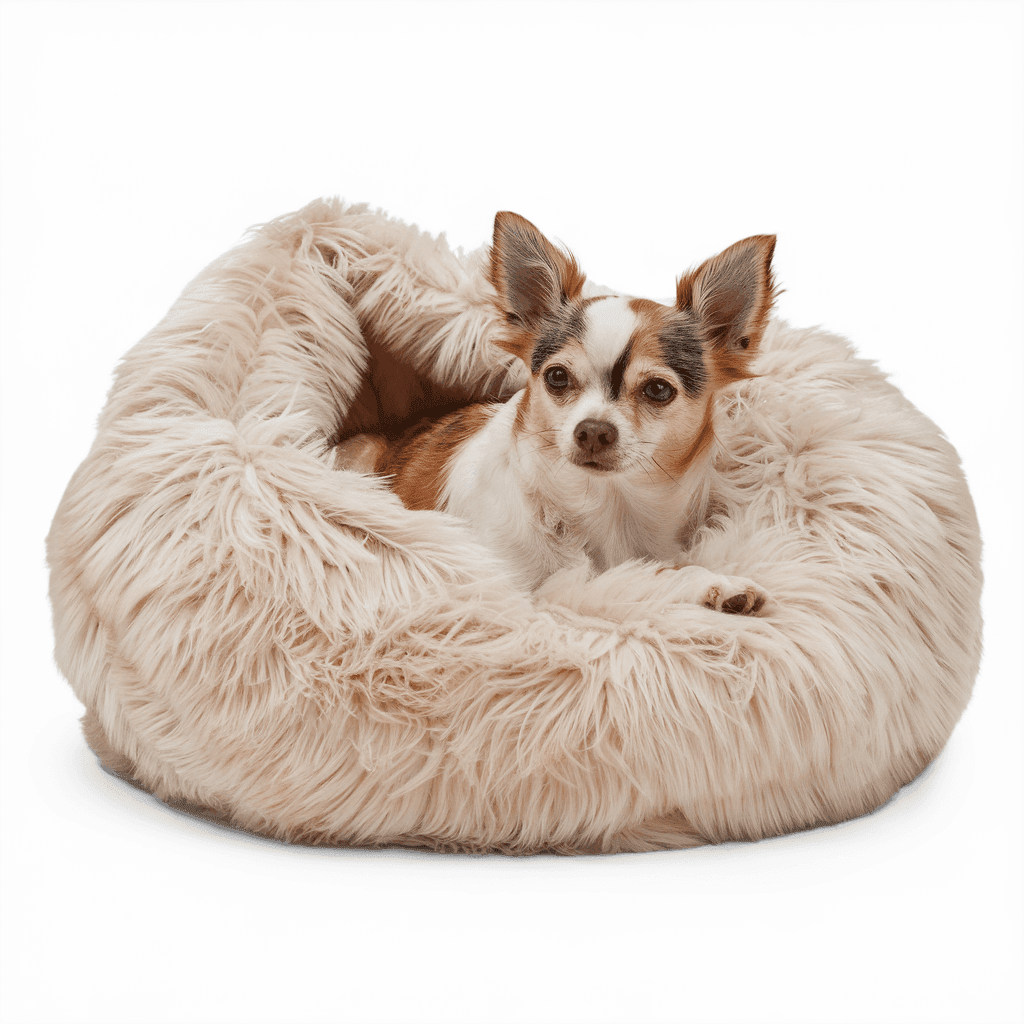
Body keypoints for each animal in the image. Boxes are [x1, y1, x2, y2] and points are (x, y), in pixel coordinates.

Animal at [335, 207, 774, 606]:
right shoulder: (512, 585)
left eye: (658, 390)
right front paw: (710, 583)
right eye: (557, 377)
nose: (593, 430)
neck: (608, 505)